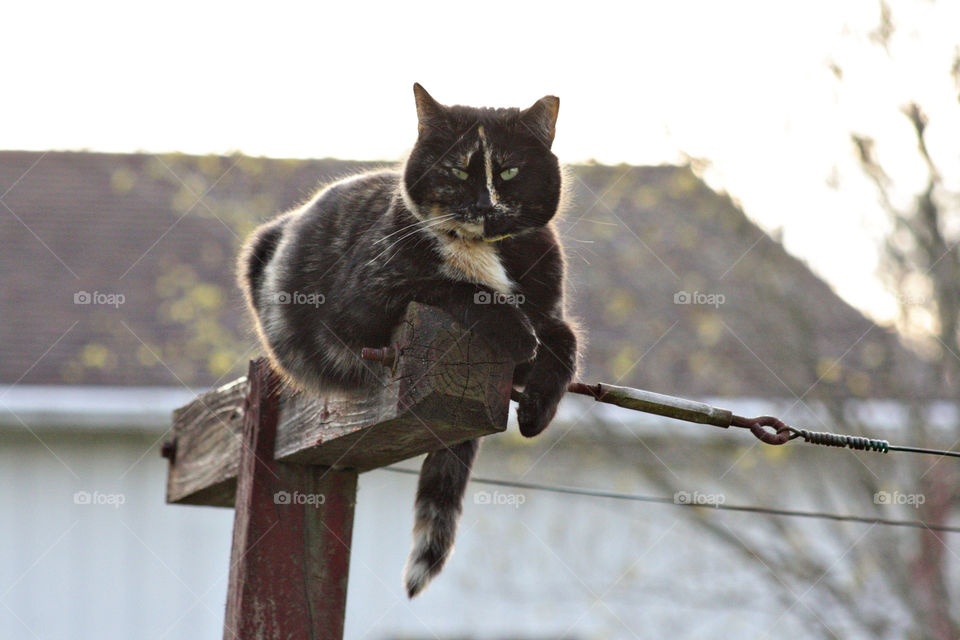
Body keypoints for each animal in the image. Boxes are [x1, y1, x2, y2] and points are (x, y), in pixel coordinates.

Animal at [240, 84, 580, 596]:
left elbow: (565, 338)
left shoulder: (548, 299)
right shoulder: (360, 302)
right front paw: (515, 330)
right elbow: (450, 284)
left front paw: (538, 408)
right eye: (457, 168)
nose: (485, 205)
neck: (485, 250)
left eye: (510, 170)